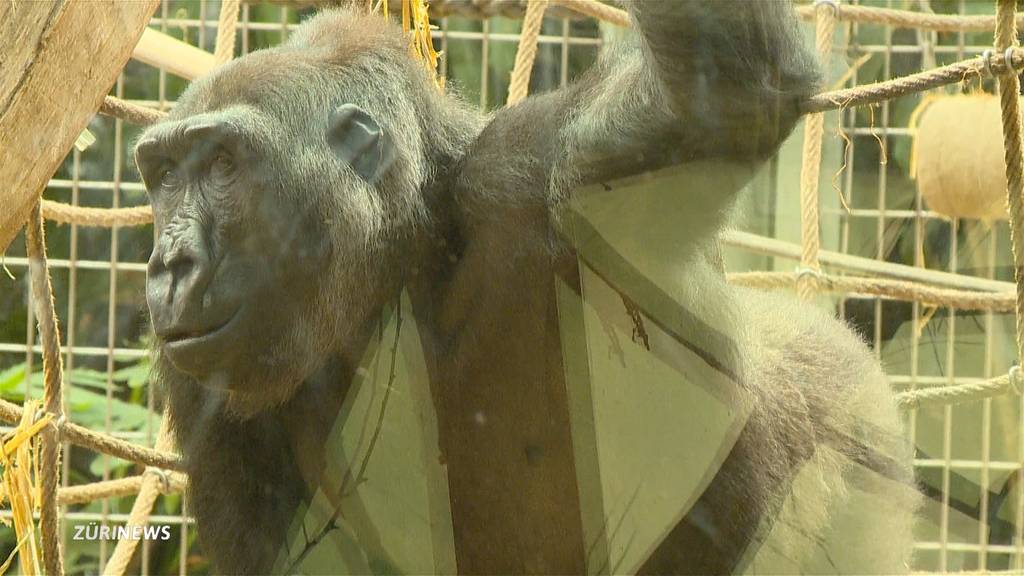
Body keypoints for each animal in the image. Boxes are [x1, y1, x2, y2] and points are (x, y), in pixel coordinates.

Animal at [136, 2, 921, 569]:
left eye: (222, 164)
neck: (406, 268)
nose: (169, 263)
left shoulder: (536, 170)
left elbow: (730, 92)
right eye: (162, 176)